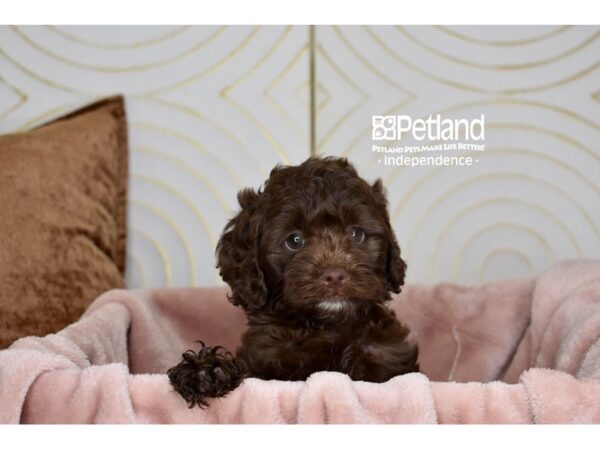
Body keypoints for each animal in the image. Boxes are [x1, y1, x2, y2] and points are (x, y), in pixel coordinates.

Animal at [166, 156, 420, 406]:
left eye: (356, 233)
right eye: (295, 240)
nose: (335, 276)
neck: (326, 328)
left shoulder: (386, 357)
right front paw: (204, 372)